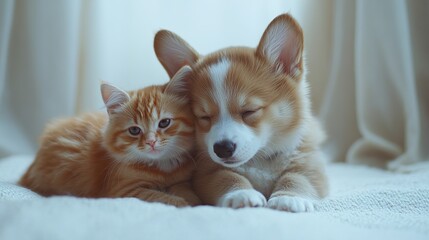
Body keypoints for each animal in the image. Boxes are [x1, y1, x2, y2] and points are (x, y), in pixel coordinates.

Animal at [19, 66, 200, 207]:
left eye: (164, 123)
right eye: (134, 131)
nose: (151, 142)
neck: (161, 168)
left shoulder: (182, 180)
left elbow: (184, 189)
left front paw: (192, 199)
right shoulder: (123, 191)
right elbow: (159, 196)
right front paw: (183, 203)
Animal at [154, 13, 328, 212]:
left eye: (249, 111)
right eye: (204, 117)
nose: (223, 149)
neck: (259, 158)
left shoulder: (311, 164)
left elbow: (297, 178)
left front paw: (288, 198)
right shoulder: (207, 172)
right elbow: (228, 177)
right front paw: (242, 194)